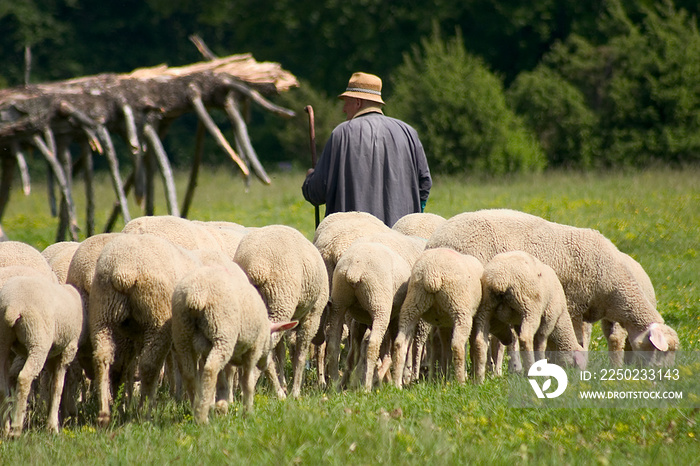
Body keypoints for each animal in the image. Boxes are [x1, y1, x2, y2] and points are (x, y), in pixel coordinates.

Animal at [0, 274, 82, 436]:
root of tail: (12, 305)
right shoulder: (68, 350)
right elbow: (58, 386)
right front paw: (53, 427)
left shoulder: (52, 356)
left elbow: (52, 385)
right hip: (38, 339)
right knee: (25, 377)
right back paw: (16, 429)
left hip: (3, 339)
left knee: (2, 385)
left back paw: (5, 429)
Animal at [232, 224, 326, 398]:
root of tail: (256, 267)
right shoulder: (313, 314)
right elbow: (301, 353)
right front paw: (295, 391)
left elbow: (281, 353)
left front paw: (284, 385)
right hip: (281, 302)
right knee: (268, 356)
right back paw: (276, 393)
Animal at [392, 249, 484, 388]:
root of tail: (432, 275)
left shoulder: (444, 325)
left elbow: (446, 348)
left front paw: (446, 376)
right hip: (459, 307)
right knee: (457, 345)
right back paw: (461, 382)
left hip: (413, 303)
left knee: (400, 343)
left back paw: (397, 384)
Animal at [474, 253, 584, 384]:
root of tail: (499, 280)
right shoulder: (548, 320)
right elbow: (540, 346)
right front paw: (543, 373)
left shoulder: (518, 323)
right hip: (530, 308)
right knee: (525, 338)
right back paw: (531, 375)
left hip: (486, 307)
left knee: (480, 340)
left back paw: (479, 380)